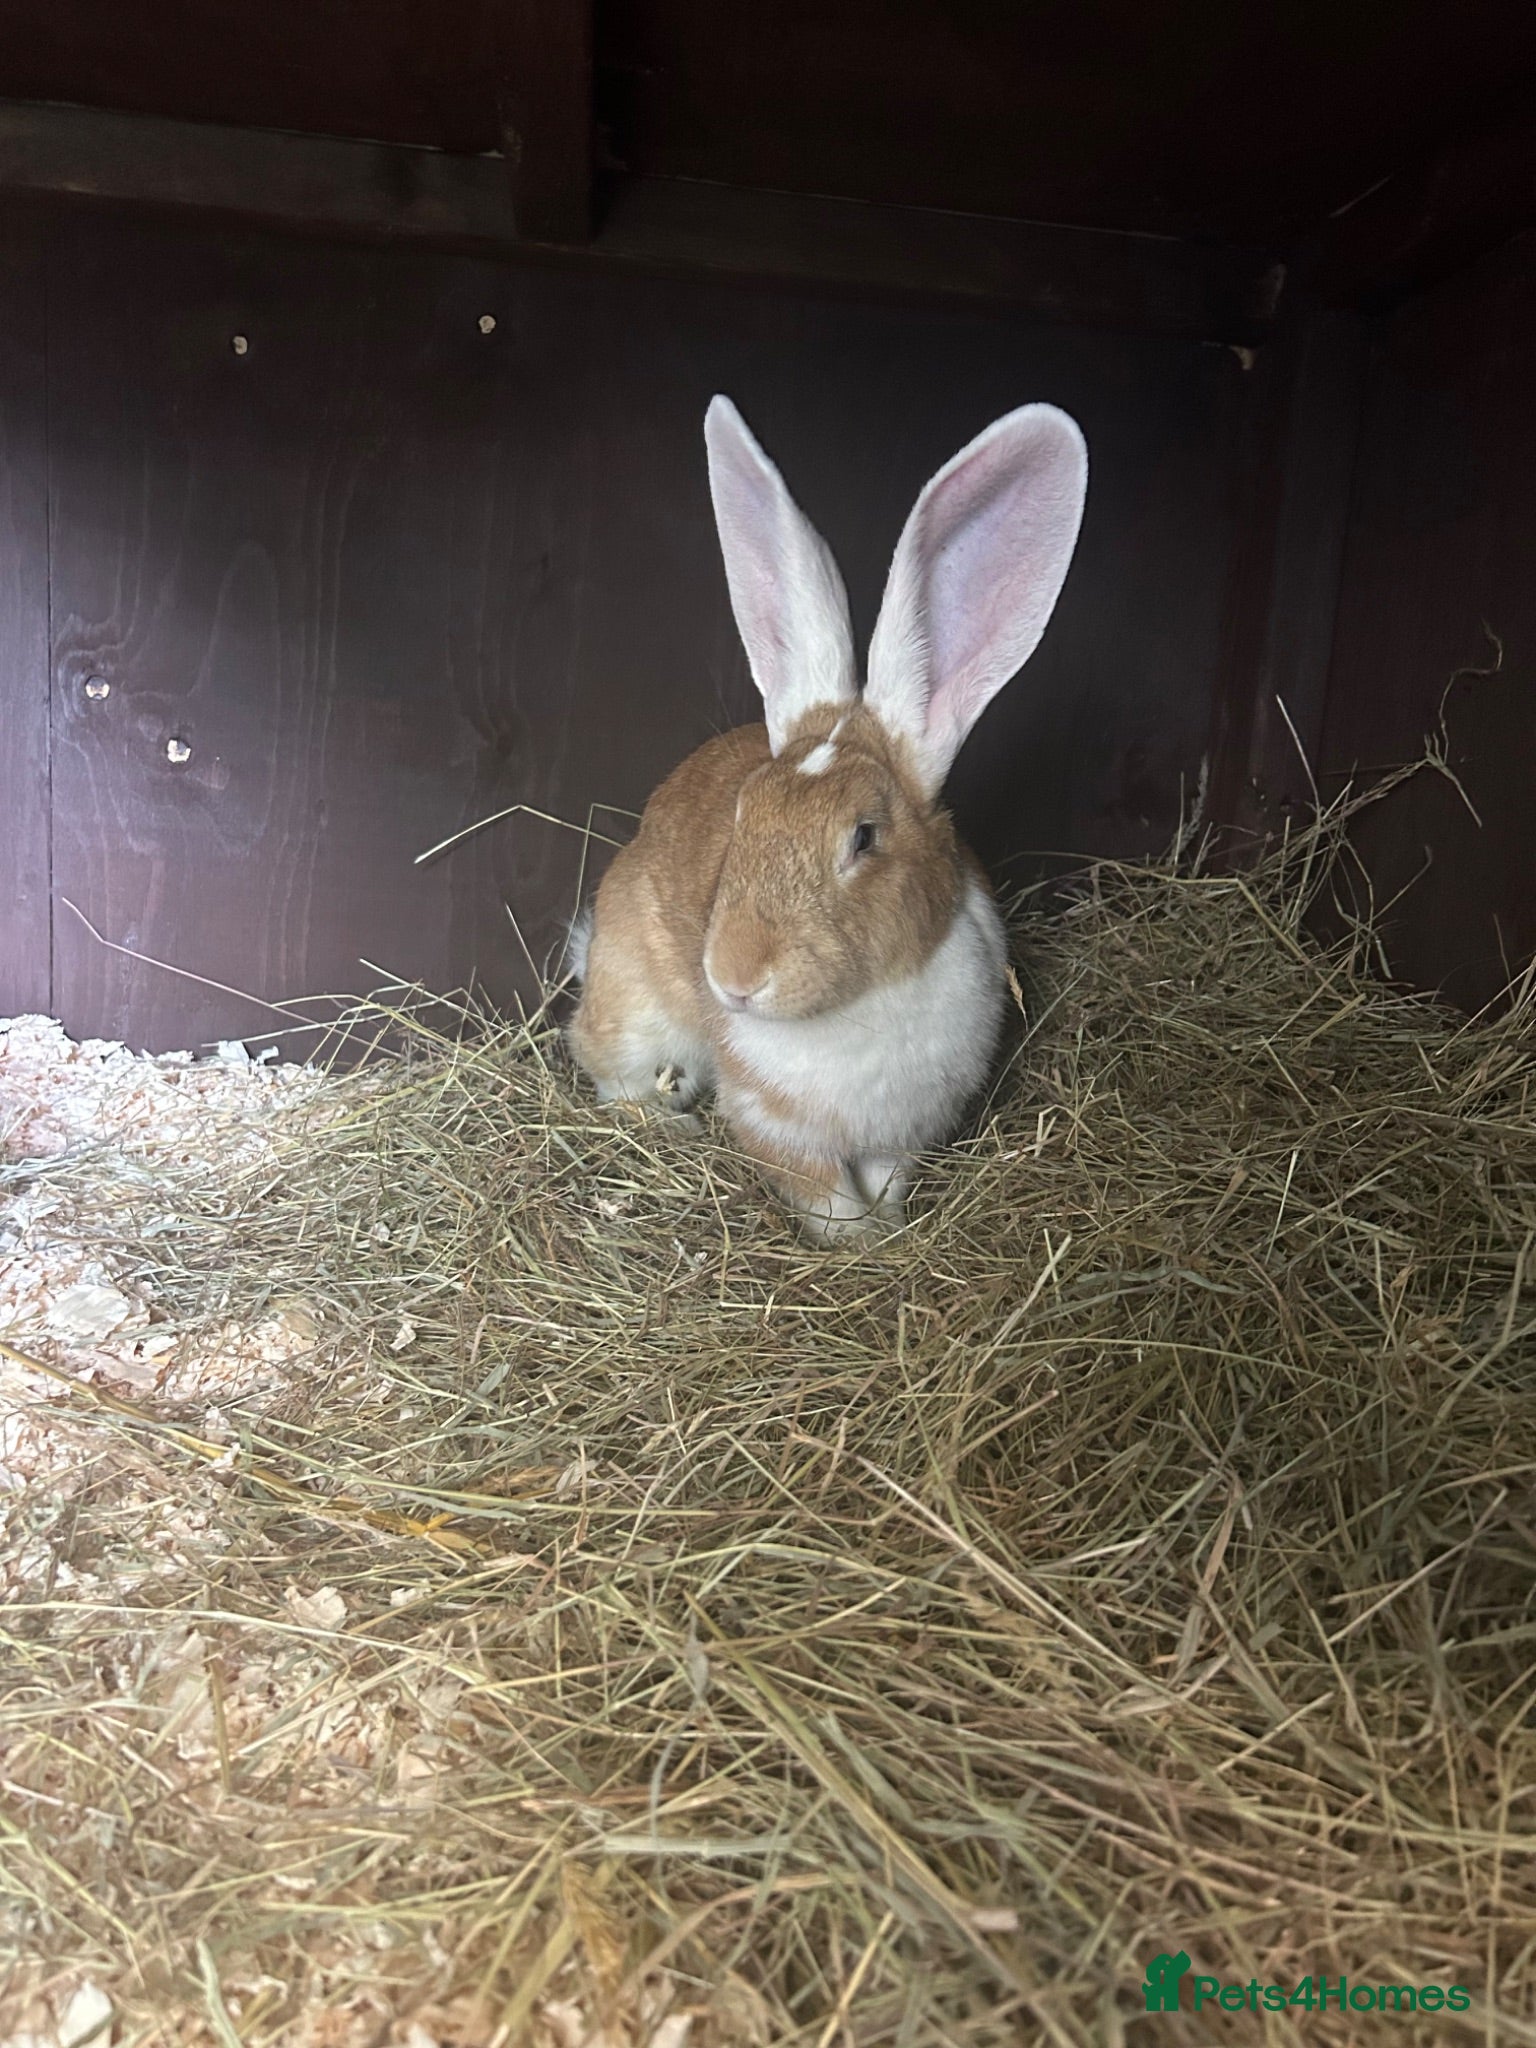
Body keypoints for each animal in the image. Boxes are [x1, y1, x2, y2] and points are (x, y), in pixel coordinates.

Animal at [568, 393, 1088, 1240]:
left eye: (863, 838)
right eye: (743, 815)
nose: (733, 978)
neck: (863, 1006)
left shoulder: (903, 1132)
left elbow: (886, 1180)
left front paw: (889, 1229)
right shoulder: (777, 1126)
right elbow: (826, 1197)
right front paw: (857, 1241)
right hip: (635, 1017)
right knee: (609, 1071)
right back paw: (672, 1127)